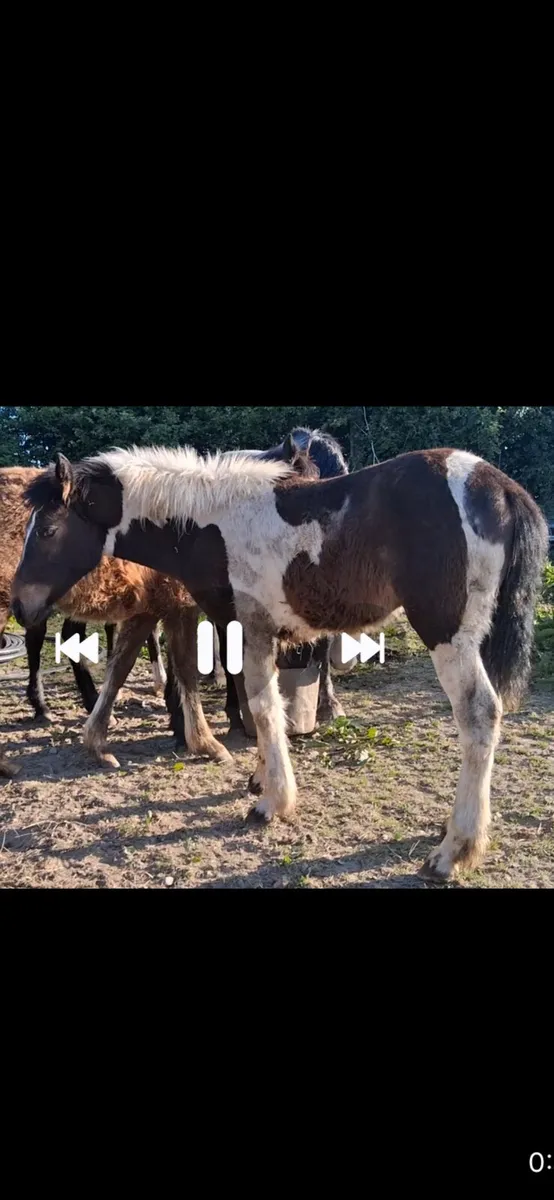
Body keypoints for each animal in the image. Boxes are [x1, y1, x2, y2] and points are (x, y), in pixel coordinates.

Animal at [13, 444, 548, 881]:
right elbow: (255, 705)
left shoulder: (250, 627)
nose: (19, 606)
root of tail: (500, 486)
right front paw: (260, 779)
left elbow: (262, 707)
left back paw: (452, 853)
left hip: (446, 631)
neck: (212, 525)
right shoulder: (243, 628)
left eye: (50, 529)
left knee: (480, 715)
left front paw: (271, 802)